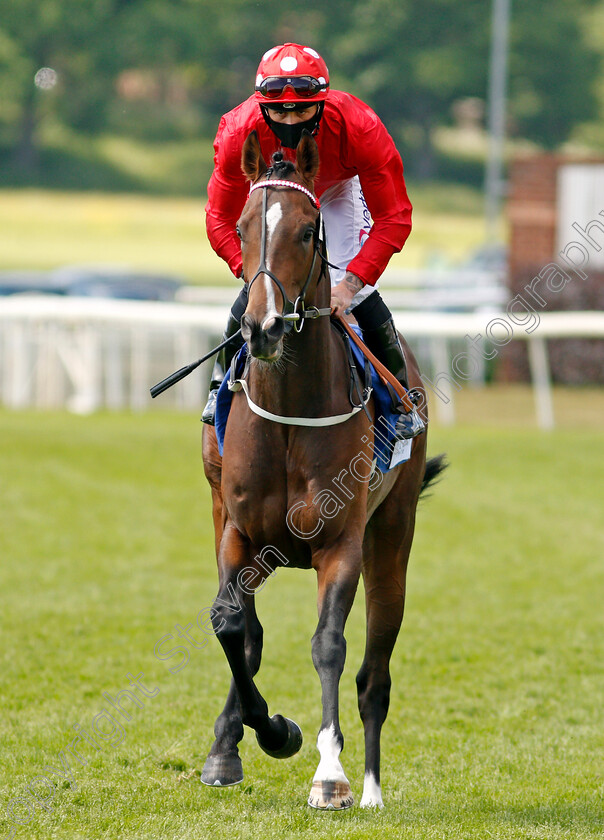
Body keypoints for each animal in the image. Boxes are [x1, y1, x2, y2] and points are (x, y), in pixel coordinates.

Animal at [202, 130, 444, 808]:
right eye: (242, 224)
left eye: (309, 231)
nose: (262, 326)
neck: (290, 414)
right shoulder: (239, 532)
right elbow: (232, 626)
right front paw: (262, 734)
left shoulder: (341, 543)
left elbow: (328, 645)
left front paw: (329, 774)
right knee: (249, 633)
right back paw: (229, 742)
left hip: (392, 536)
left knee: (374, 674)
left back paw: (371, 789)